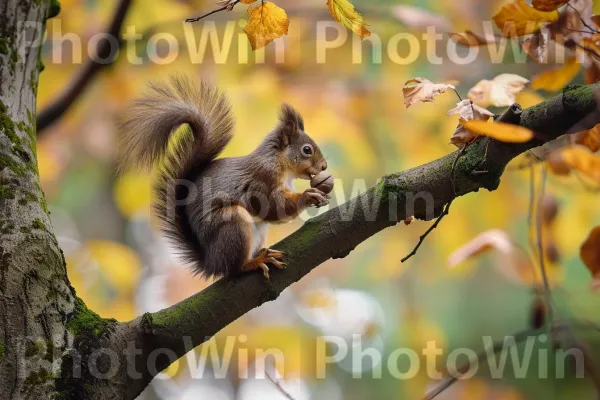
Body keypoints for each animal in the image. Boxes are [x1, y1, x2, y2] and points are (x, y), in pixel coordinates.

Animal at [118, 76, 330, 280]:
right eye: (307, 150)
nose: (324, 167)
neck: (279, 163)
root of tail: (212, 262)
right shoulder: (262, 179)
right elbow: (273, 207)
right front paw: (307, 196)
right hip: (232, 224)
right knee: (234, 268)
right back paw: (254, 262)